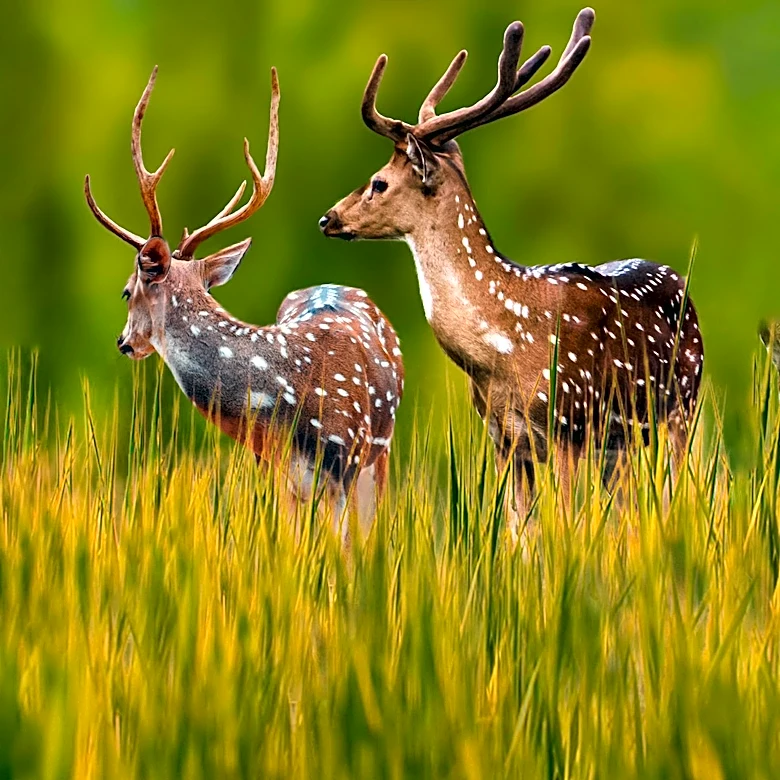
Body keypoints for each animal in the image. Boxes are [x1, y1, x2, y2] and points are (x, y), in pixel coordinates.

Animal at [319, 8, 704, 538]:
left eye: (379, 182)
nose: (328, 218)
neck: (500, 349)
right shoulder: (503, 438)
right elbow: (520, 535)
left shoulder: (568, 423)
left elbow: (566, 526)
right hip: (623, 446)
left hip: (682, 410)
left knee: (677, 496)